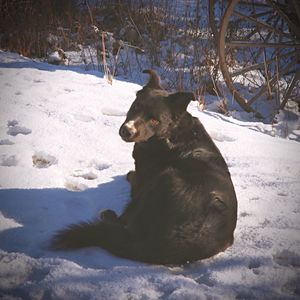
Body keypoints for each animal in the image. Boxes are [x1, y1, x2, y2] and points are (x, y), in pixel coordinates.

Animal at [52, 70, 238, 264]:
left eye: (155, 120)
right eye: (135, 107)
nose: (127, 131)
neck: (171, 134)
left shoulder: (144, 178)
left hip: (163, 180)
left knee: (125, 220)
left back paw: (108, 216)